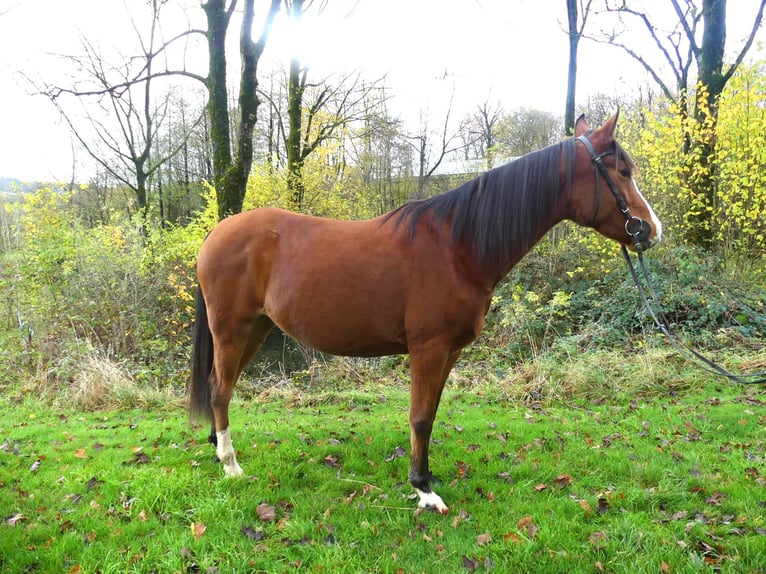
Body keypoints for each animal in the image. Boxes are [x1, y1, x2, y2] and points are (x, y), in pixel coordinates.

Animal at [189, 111, 664, 512]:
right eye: (622, 172)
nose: (651, 230)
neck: (459, 247)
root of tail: (216, 232)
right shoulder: (428, 349)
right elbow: (419, 418)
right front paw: (423, 490)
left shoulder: (450, 351)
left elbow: (431, 415)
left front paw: (427, 477)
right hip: (232, 329)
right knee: (221, 390)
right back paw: (231, 465)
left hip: (256, 329)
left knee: (218, 386)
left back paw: (217, 449)